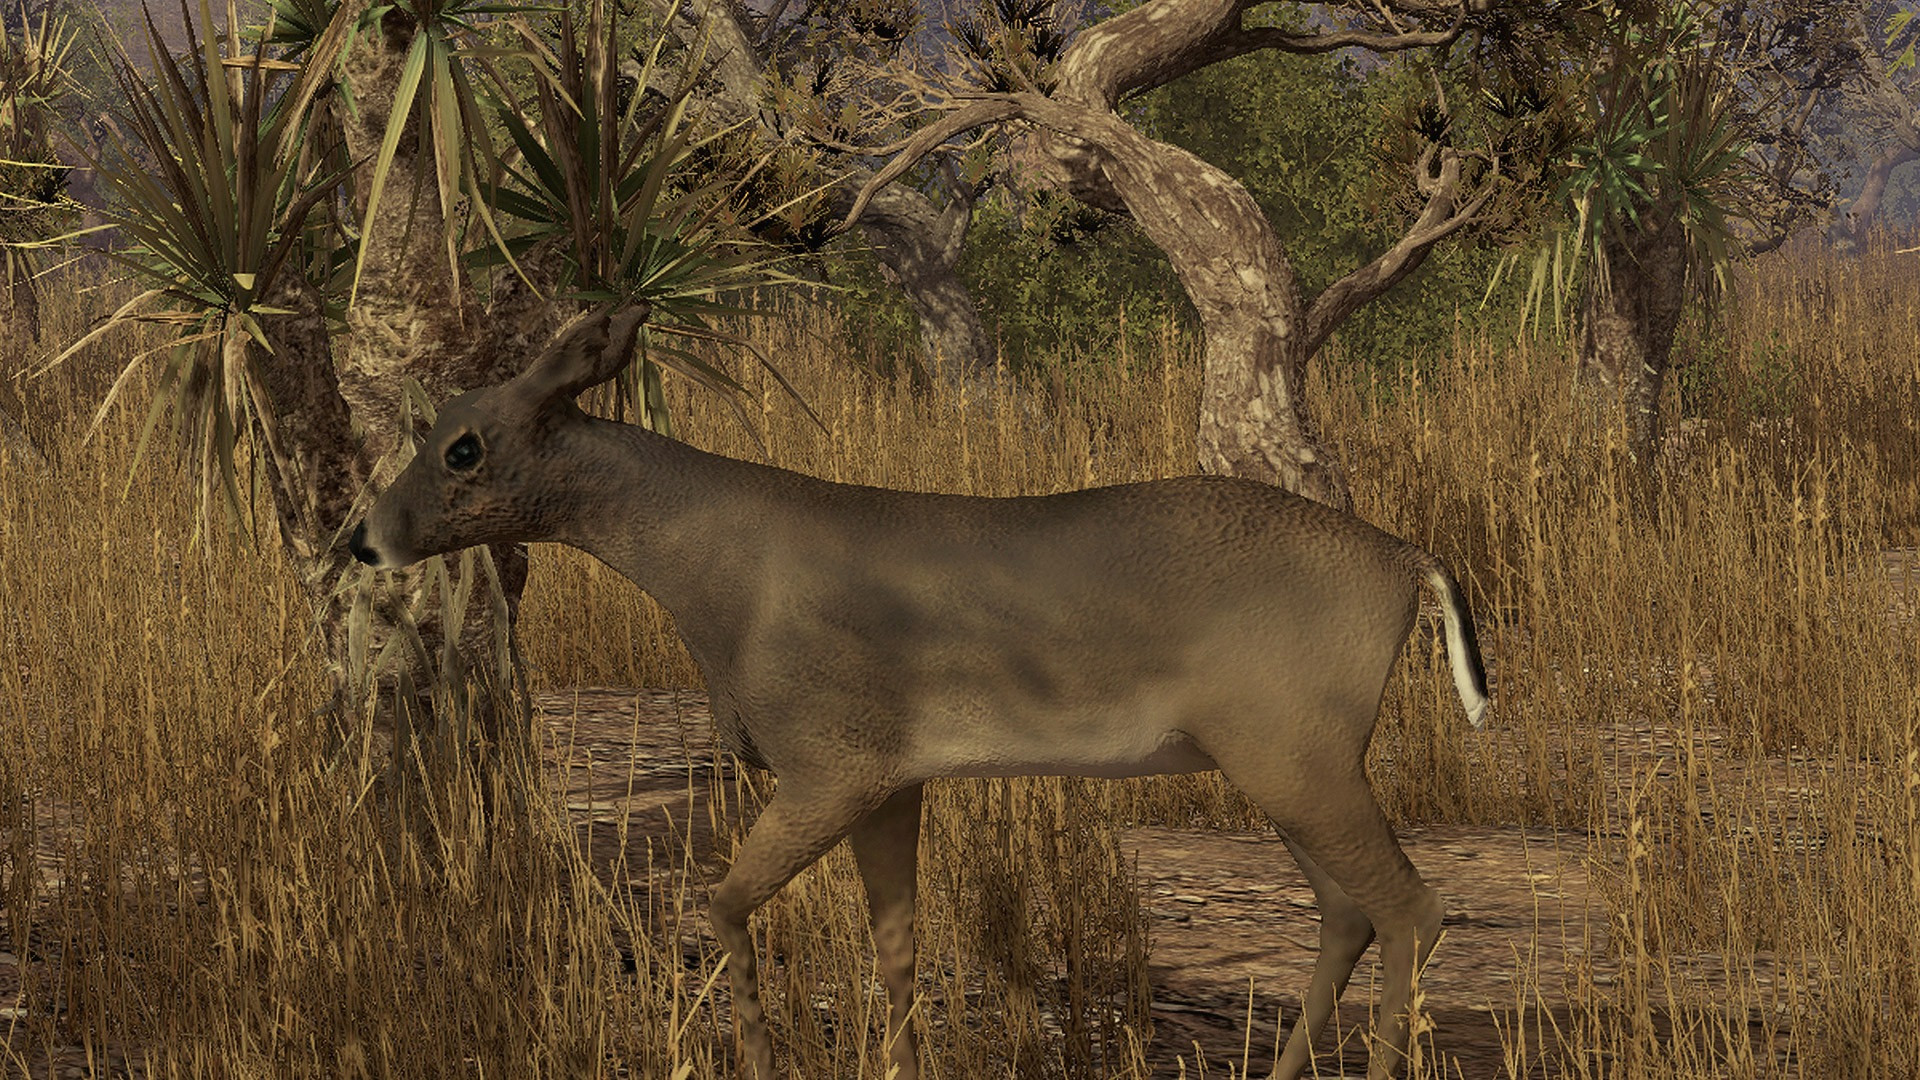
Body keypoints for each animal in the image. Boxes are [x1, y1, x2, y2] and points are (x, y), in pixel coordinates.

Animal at [348, 307, 1491, 1080]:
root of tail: (1413, 561)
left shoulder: (831, 760)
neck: (721, 580)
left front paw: (760, 1058)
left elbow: (720, 903)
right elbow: (895, 946)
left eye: (463, 445)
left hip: (1296, 750)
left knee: (1413, 907)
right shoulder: (892, 778)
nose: (365, 538)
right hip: (1283, 756)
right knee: (1351, 913)